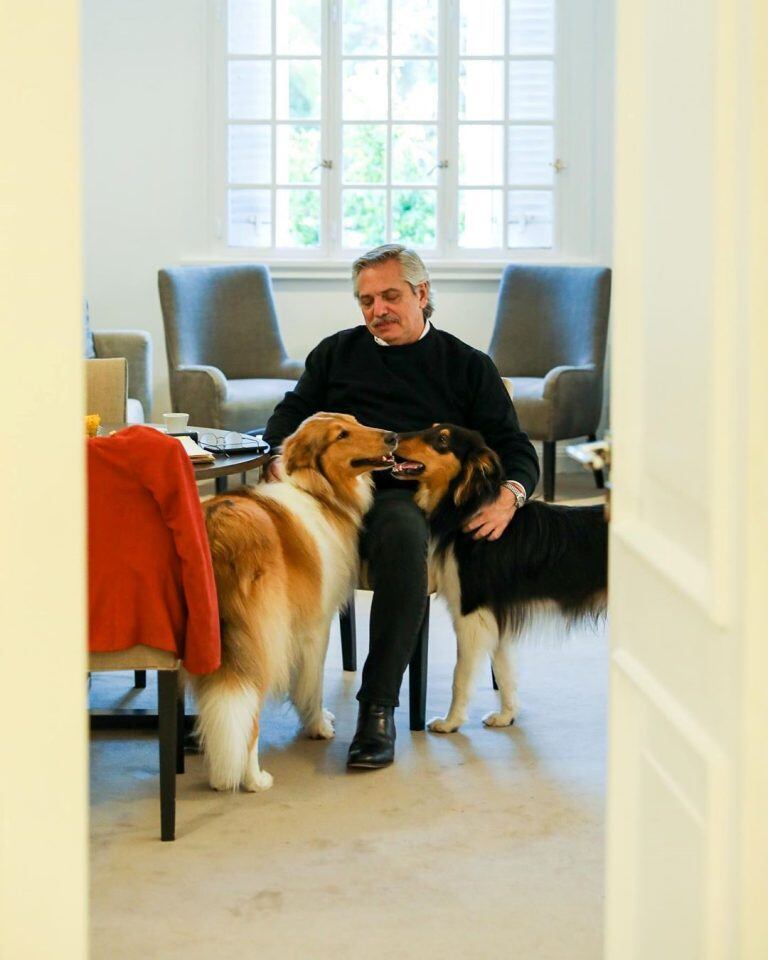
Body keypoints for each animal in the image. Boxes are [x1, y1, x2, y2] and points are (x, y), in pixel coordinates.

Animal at [392, 424, 608, 732]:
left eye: (442, 439)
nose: (393, 436)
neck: (466, 508)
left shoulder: (471, 614)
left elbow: (460, 677)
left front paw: (450, 722)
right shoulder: (495, 616)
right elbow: (505, 672)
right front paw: (506, 716)